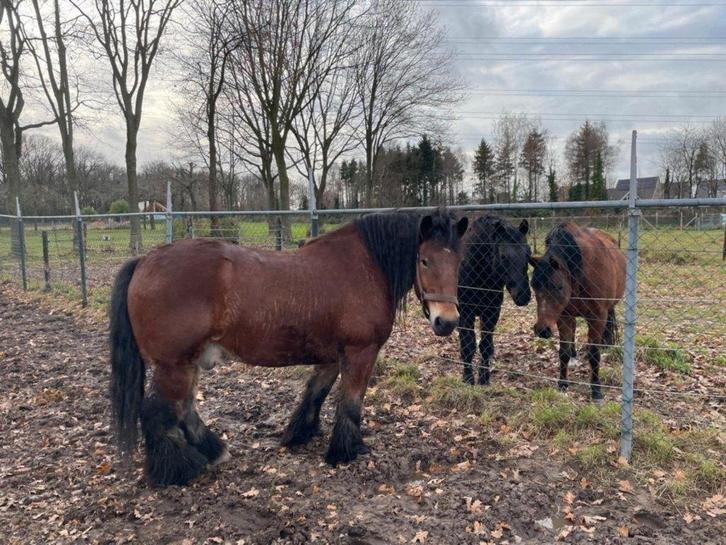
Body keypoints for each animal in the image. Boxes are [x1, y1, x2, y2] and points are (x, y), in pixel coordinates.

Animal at [109, 209, 468, 486]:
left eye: (458, 262)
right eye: (424, 260)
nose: (447, 322)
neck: (367, 267)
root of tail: (144, 261)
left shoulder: (333, 355)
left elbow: (316, 392)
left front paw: (299, 434)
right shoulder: (360, 352)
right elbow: (351, 402)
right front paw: (346, 450)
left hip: (188, 361)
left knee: (183, 408)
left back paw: (213, 451)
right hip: (175, 364)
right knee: (158, 412)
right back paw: (178, 469)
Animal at [458, 216, 532, 385]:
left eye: (528, 253)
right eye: (503, 256)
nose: (523, 295)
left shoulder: (492, 312)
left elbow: (485, 345)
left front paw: (484, 378)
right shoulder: (465, 311)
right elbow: (468, 345)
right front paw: (468, 377)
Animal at [530, 222, 625, 401]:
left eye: (559, 286)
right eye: (534, 286)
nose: (543, 330)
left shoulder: (597, 317)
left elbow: (594, 354)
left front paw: (596, 390)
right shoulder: (563, 316)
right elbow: (563, 352)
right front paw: (562, 384)